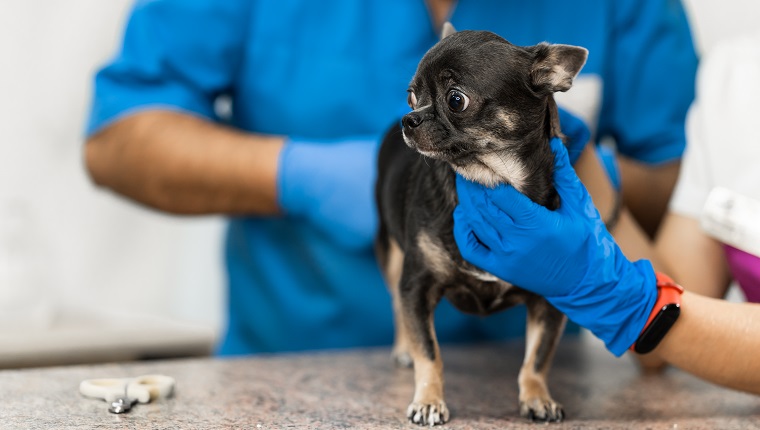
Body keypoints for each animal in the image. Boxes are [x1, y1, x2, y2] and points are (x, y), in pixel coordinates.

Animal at [374, 24, 588, 426]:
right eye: (411, 97)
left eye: (456, 100)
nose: (408, 119)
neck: (491, 184)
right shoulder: (418, 285)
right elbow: (429, 353)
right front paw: (429, 400)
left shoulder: (550, 300)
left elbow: (537, 359)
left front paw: (537, 397)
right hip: (391, 254)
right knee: (396, 303)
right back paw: (403, 348)